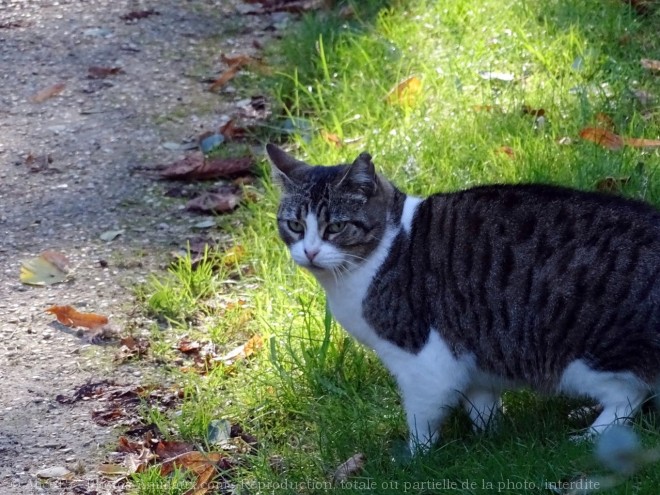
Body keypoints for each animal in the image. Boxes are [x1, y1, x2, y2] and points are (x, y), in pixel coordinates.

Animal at [266, 143, 656, 454]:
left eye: (335, 227)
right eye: (295, 225)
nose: (310, 252)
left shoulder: (423, 359)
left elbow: (422, 416)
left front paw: (414, 458)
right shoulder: (472, 355)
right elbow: (480, 403)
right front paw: (492, 438)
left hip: (586, 356)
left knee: (629, 395)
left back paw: (589, 434)